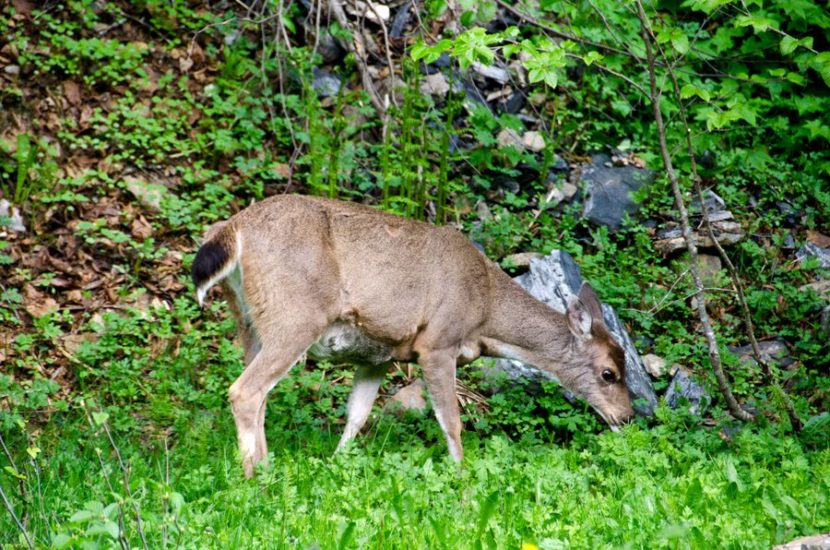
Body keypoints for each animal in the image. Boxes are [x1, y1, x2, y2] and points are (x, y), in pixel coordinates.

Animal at [192, 195, 632, 478]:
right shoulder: (437, 343)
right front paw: (463, 478)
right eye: (609, 373)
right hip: (296, 315)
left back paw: (265, 467)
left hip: (249, 320)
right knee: (245, 391)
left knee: (259, 392)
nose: (626, 417)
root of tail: (234, 228)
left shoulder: (379, 356)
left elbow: (357, 415)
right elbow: (451, 420)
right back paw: (256, 479)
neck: (485, 308)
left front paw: (337, 465)